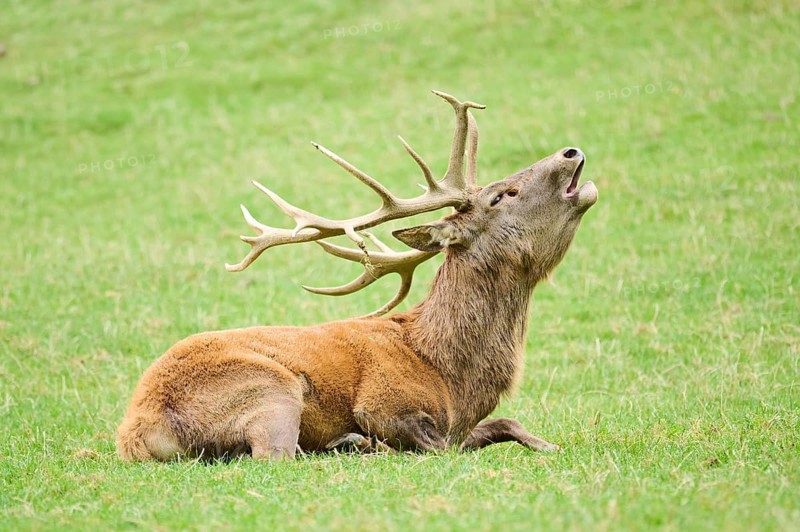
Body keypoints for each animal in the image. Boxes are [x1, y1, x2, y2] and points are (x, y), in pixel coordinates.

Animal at [117, 91, 598, 461]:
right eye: (501, 195)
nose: (570, 152)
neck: (450, 374)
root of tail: (136, 433)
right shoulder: (384, 402)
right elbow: (439, 446)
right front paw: (366, 443)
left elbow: (507, 423)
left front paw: (552, 446)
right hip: (272, 389)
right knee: (276, 455)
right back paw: (351, 445)